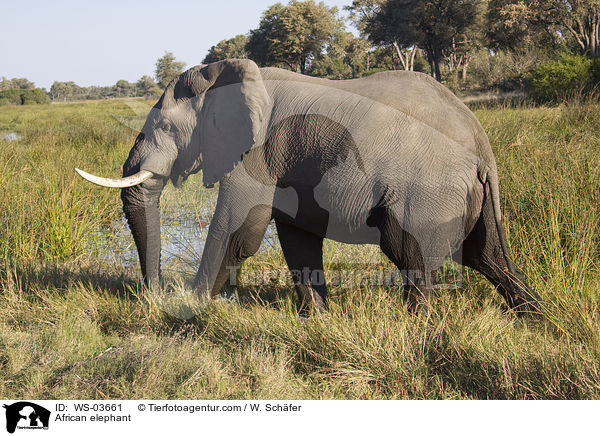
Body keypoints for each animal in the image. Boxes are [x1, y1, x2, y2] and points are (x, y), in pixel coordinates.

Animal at [76, 59, 544, 316]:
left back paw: (417, 328)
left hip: (428, 190)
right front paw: (318, 319)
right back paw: (537, 318)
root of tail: (483, 147)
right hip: (470, 198)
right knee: (488, 256)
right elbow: (296, 234)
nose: (156, 294)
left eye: (167, 128)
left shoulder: (256, 152)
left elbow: (239, 229)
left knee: (410, 254)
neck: (224, 71)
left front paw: (189, 308)